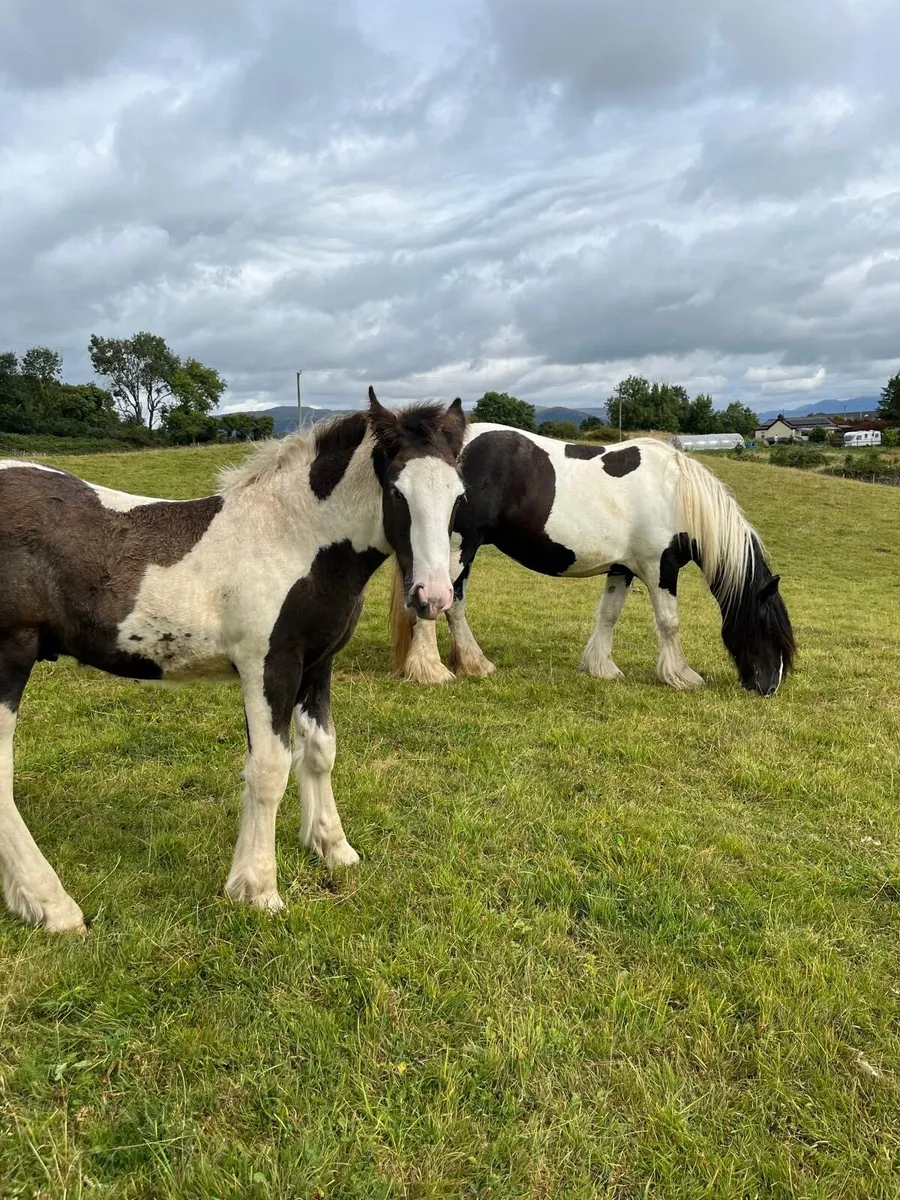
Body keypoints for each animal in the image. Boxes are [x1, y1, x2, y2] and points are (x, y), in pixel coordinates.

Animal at [0, 388, 466, 933]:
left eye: (459, 496)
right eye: (396, 492)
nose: (433, 597)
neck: (293, 538)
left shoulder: (317, 665)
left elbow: (320, 750)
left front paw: (332, 848)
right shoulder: (268, 666)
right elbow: (268, 769)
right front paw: (257, 889)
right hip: (9, 656)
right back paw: (53, 906)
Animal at [390, 424, 795, 695]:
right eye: (766, 628)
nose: (769, 687)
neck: (675, 494)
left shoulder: (622, 569)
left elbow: (609, 615)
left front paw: (602, 668)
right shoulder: (659, 568)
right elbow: (669, 623)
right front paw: (681, 675)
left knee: (451, 603)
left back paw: (473, 664)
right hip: (457, 549)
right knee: (436, 603)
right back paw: (431, 669)